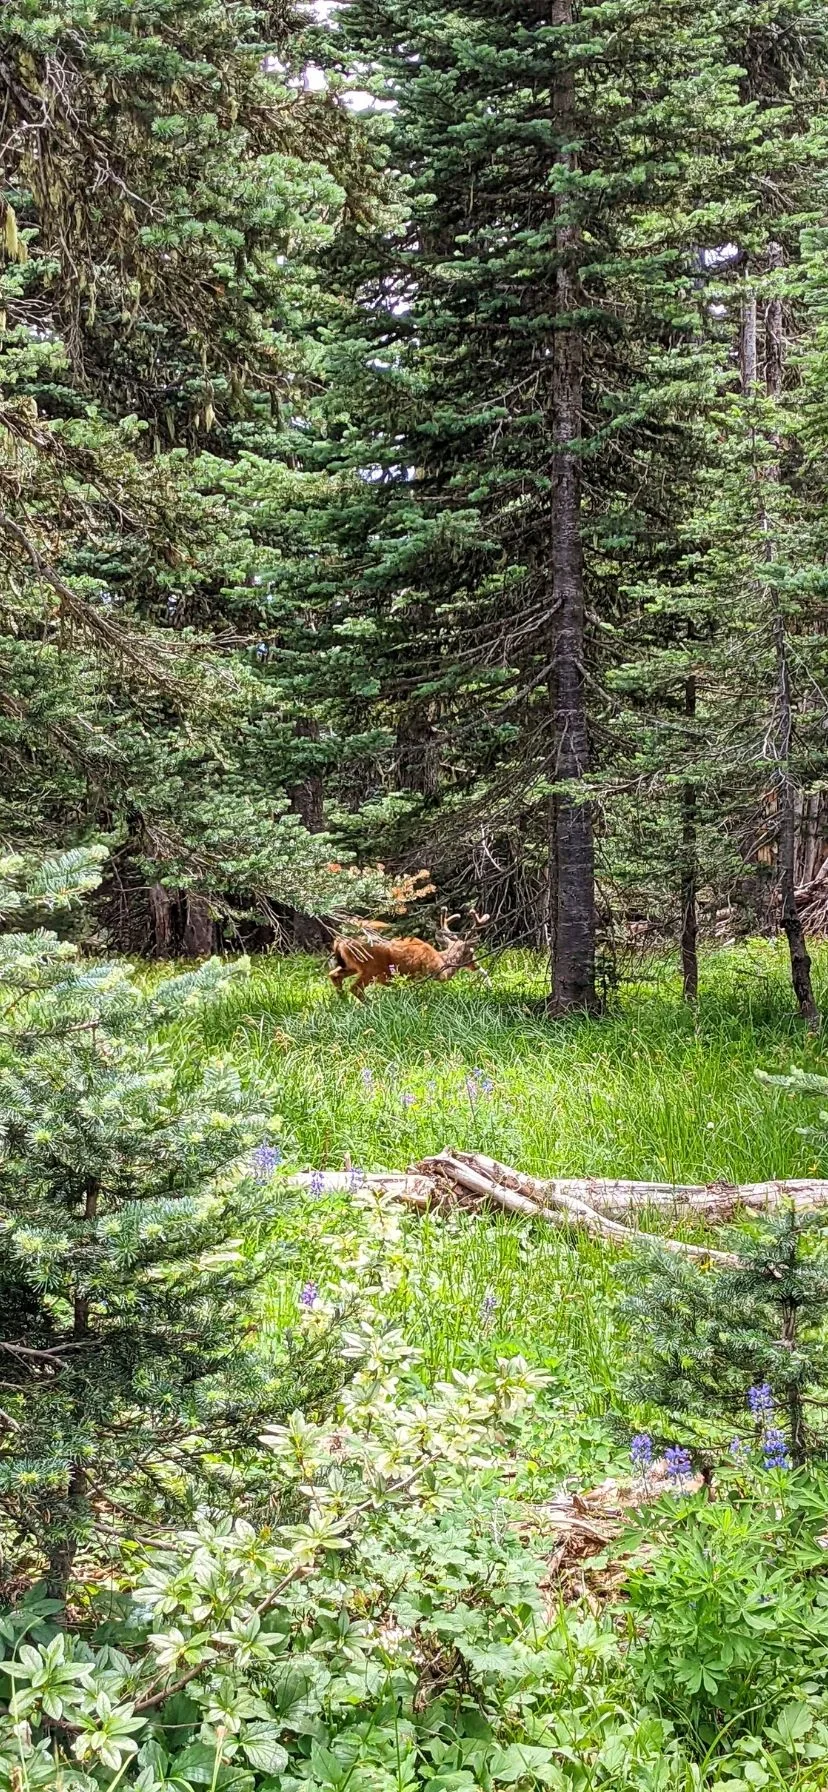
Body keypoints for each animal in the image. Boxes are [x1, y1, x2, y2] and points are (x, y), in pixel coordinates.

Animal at [326, 910, 487, 996]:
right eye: (471, 952)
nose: (477, 966)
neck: (442, 962)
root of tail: (340, 940)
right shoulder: (421, 974)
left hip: (351, 965)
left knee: (334, 975)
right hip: (371, 967)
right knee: (355, 988)